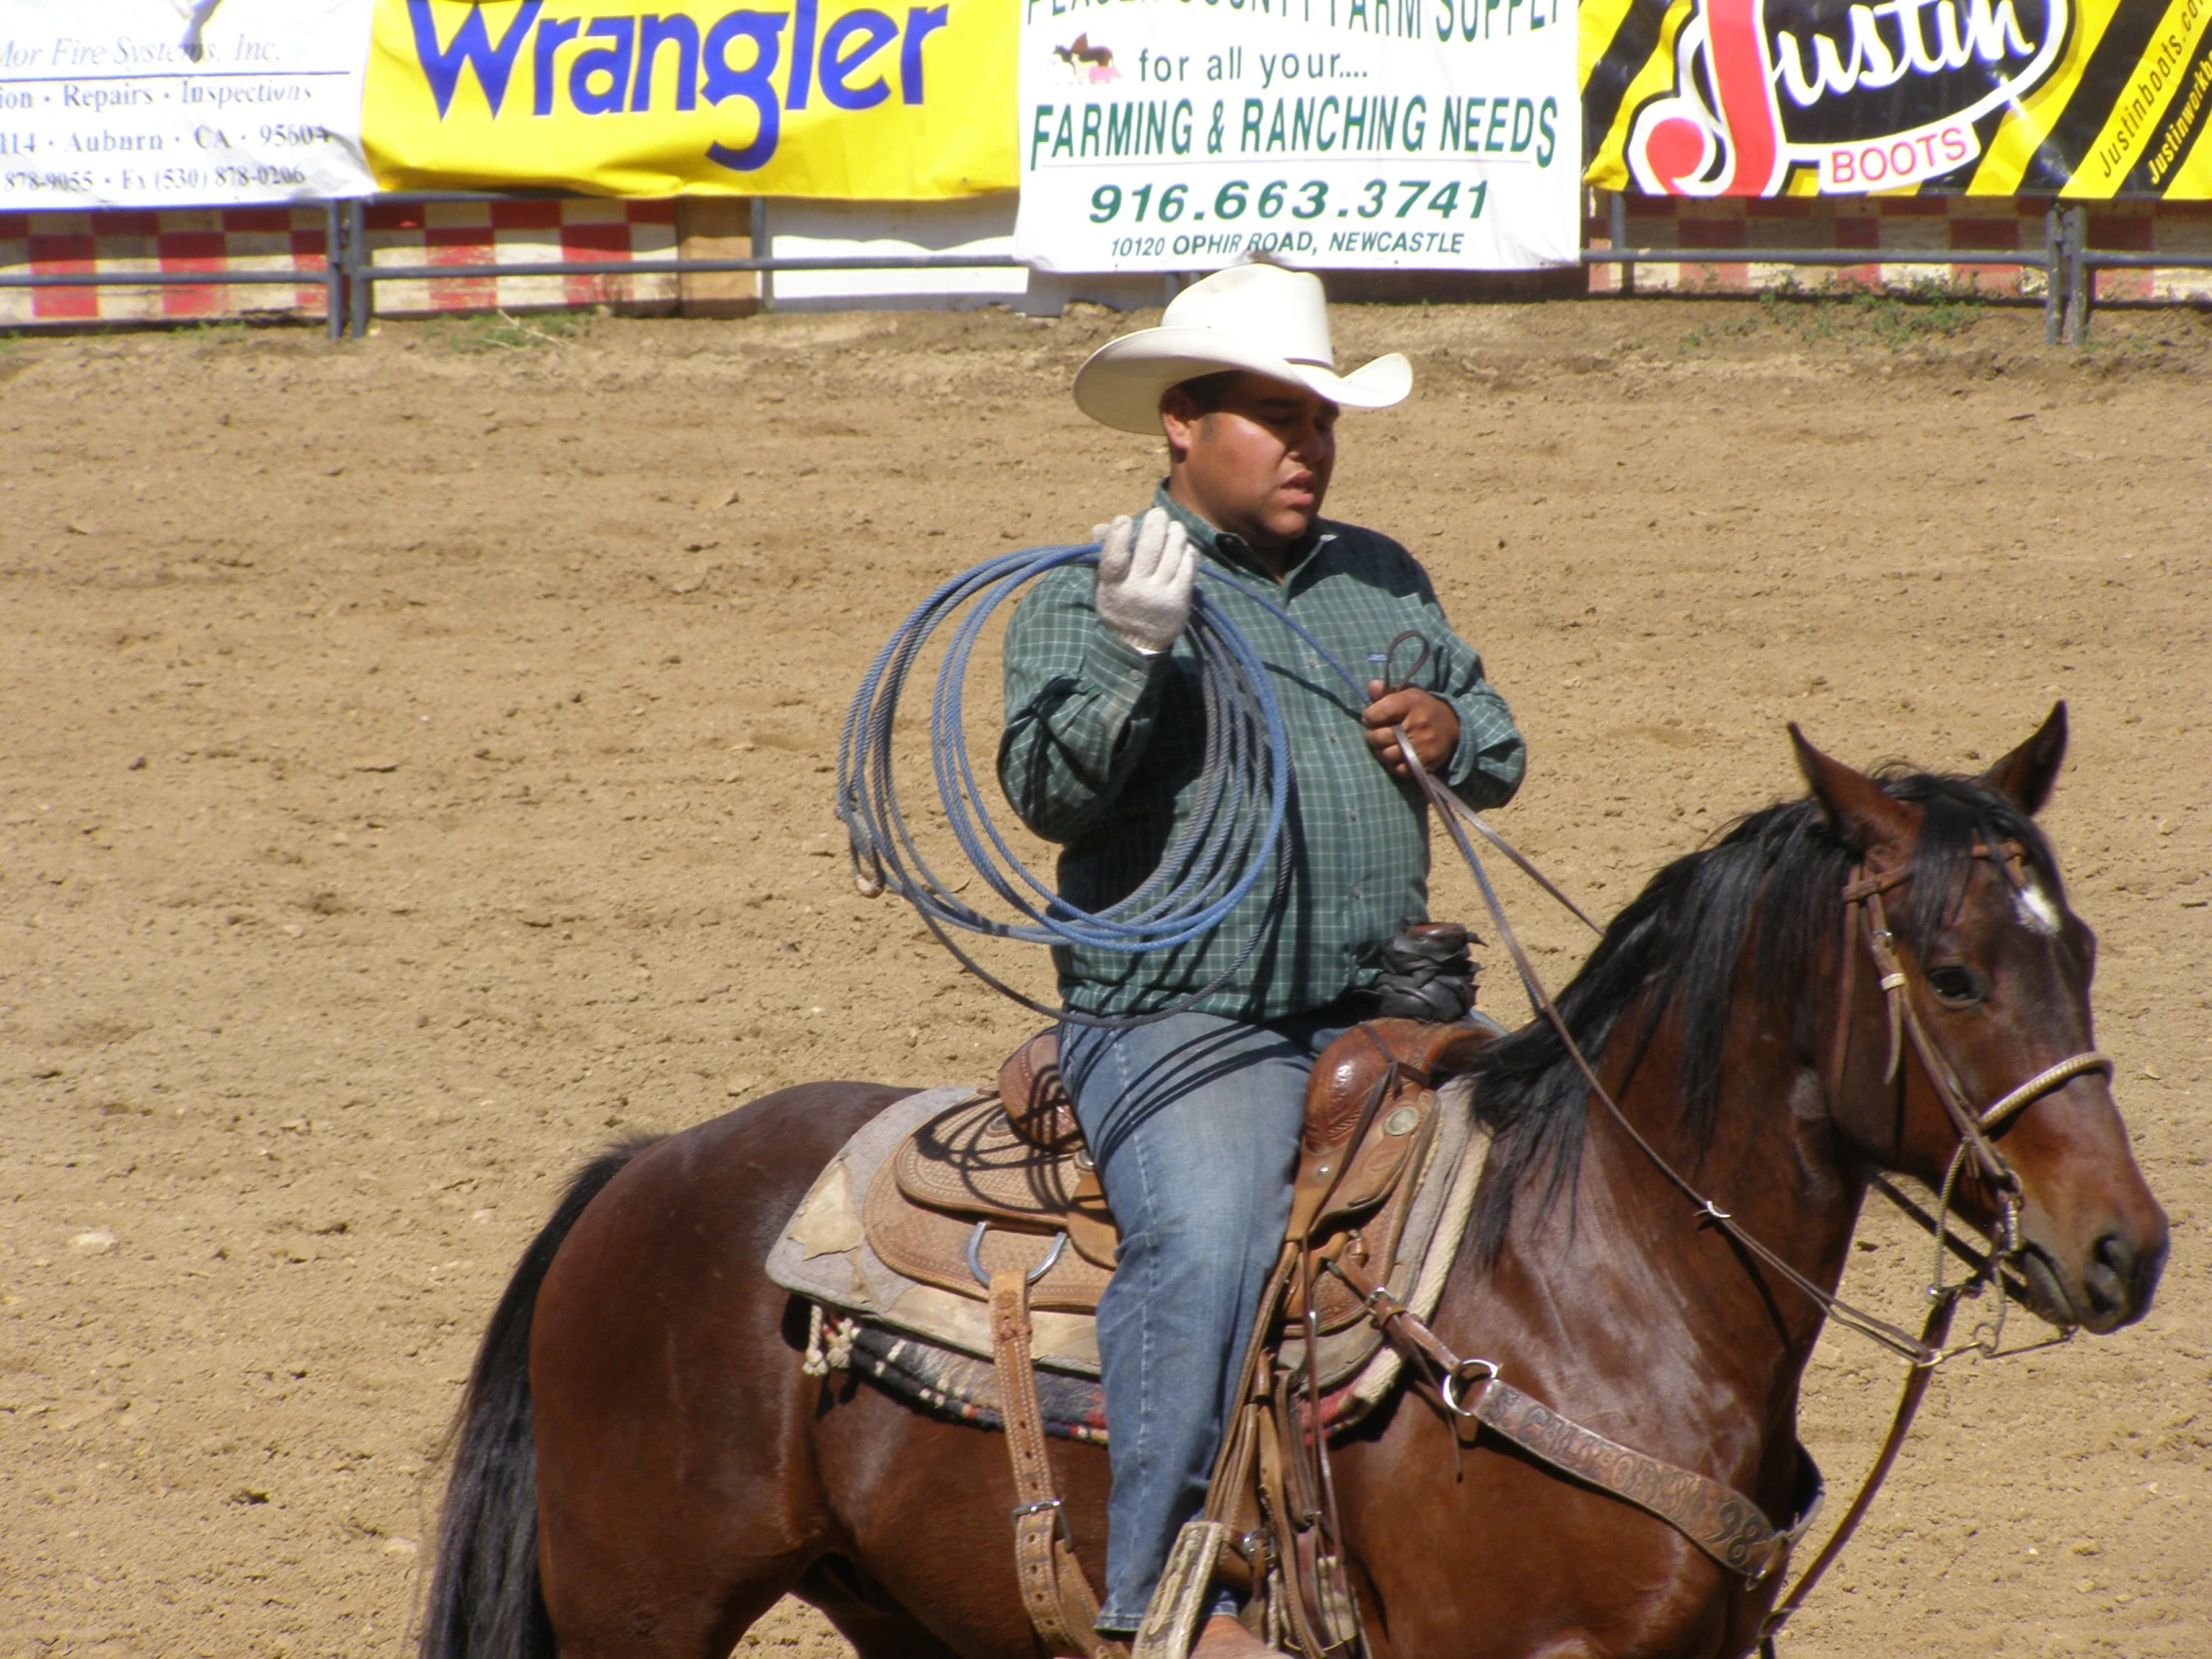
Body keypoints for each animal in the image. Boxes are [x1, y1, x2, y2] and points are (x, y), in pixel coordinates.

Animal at [422, 708, 2167, 1659]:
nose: (2127, 1249)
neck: (1596, 1282)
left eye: (2080, 947)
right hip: (645, 1608)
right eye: (1954, 972)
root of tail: (642, 1172)